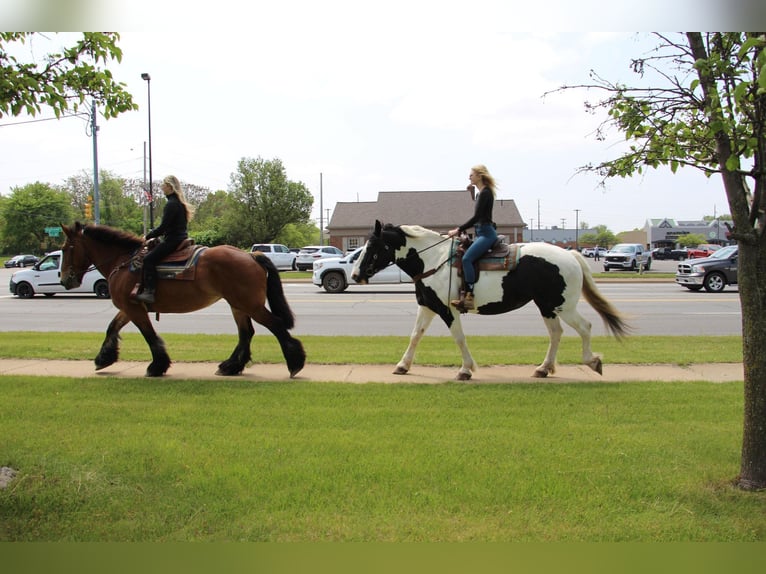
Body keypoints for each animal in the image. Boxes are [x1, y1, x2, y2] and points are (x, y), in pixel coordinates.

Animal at [60, 223, 306, 380]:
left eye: (66, 248)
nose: (64, 279)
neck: (123, 262)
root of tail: (250, 255)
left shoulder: (133, 308)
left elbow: (148, 335)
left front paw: (157, 366)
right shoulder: (129, 306)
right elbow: (112, 327)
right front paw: (104, 358)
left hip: (249, 304)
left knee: (274, 325)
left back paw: (295, 363)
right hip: (238, 304)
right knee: (246, 333)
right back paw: (231, 366)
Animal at [352, 223, 632, 380]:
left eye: (372, 246)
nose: (355, 275)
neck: (433, 260)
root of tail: (570, 255)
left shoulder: (447, 310)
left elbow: (459, 338)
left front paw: (465, 370)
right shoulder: (428, 307)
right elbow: (415, 335)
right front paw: (402, 366)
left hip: (563, 306)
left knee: (584, 327)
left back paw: (592, 362)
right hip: (547, 306)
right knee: (556, 333)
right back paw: (543, 369)